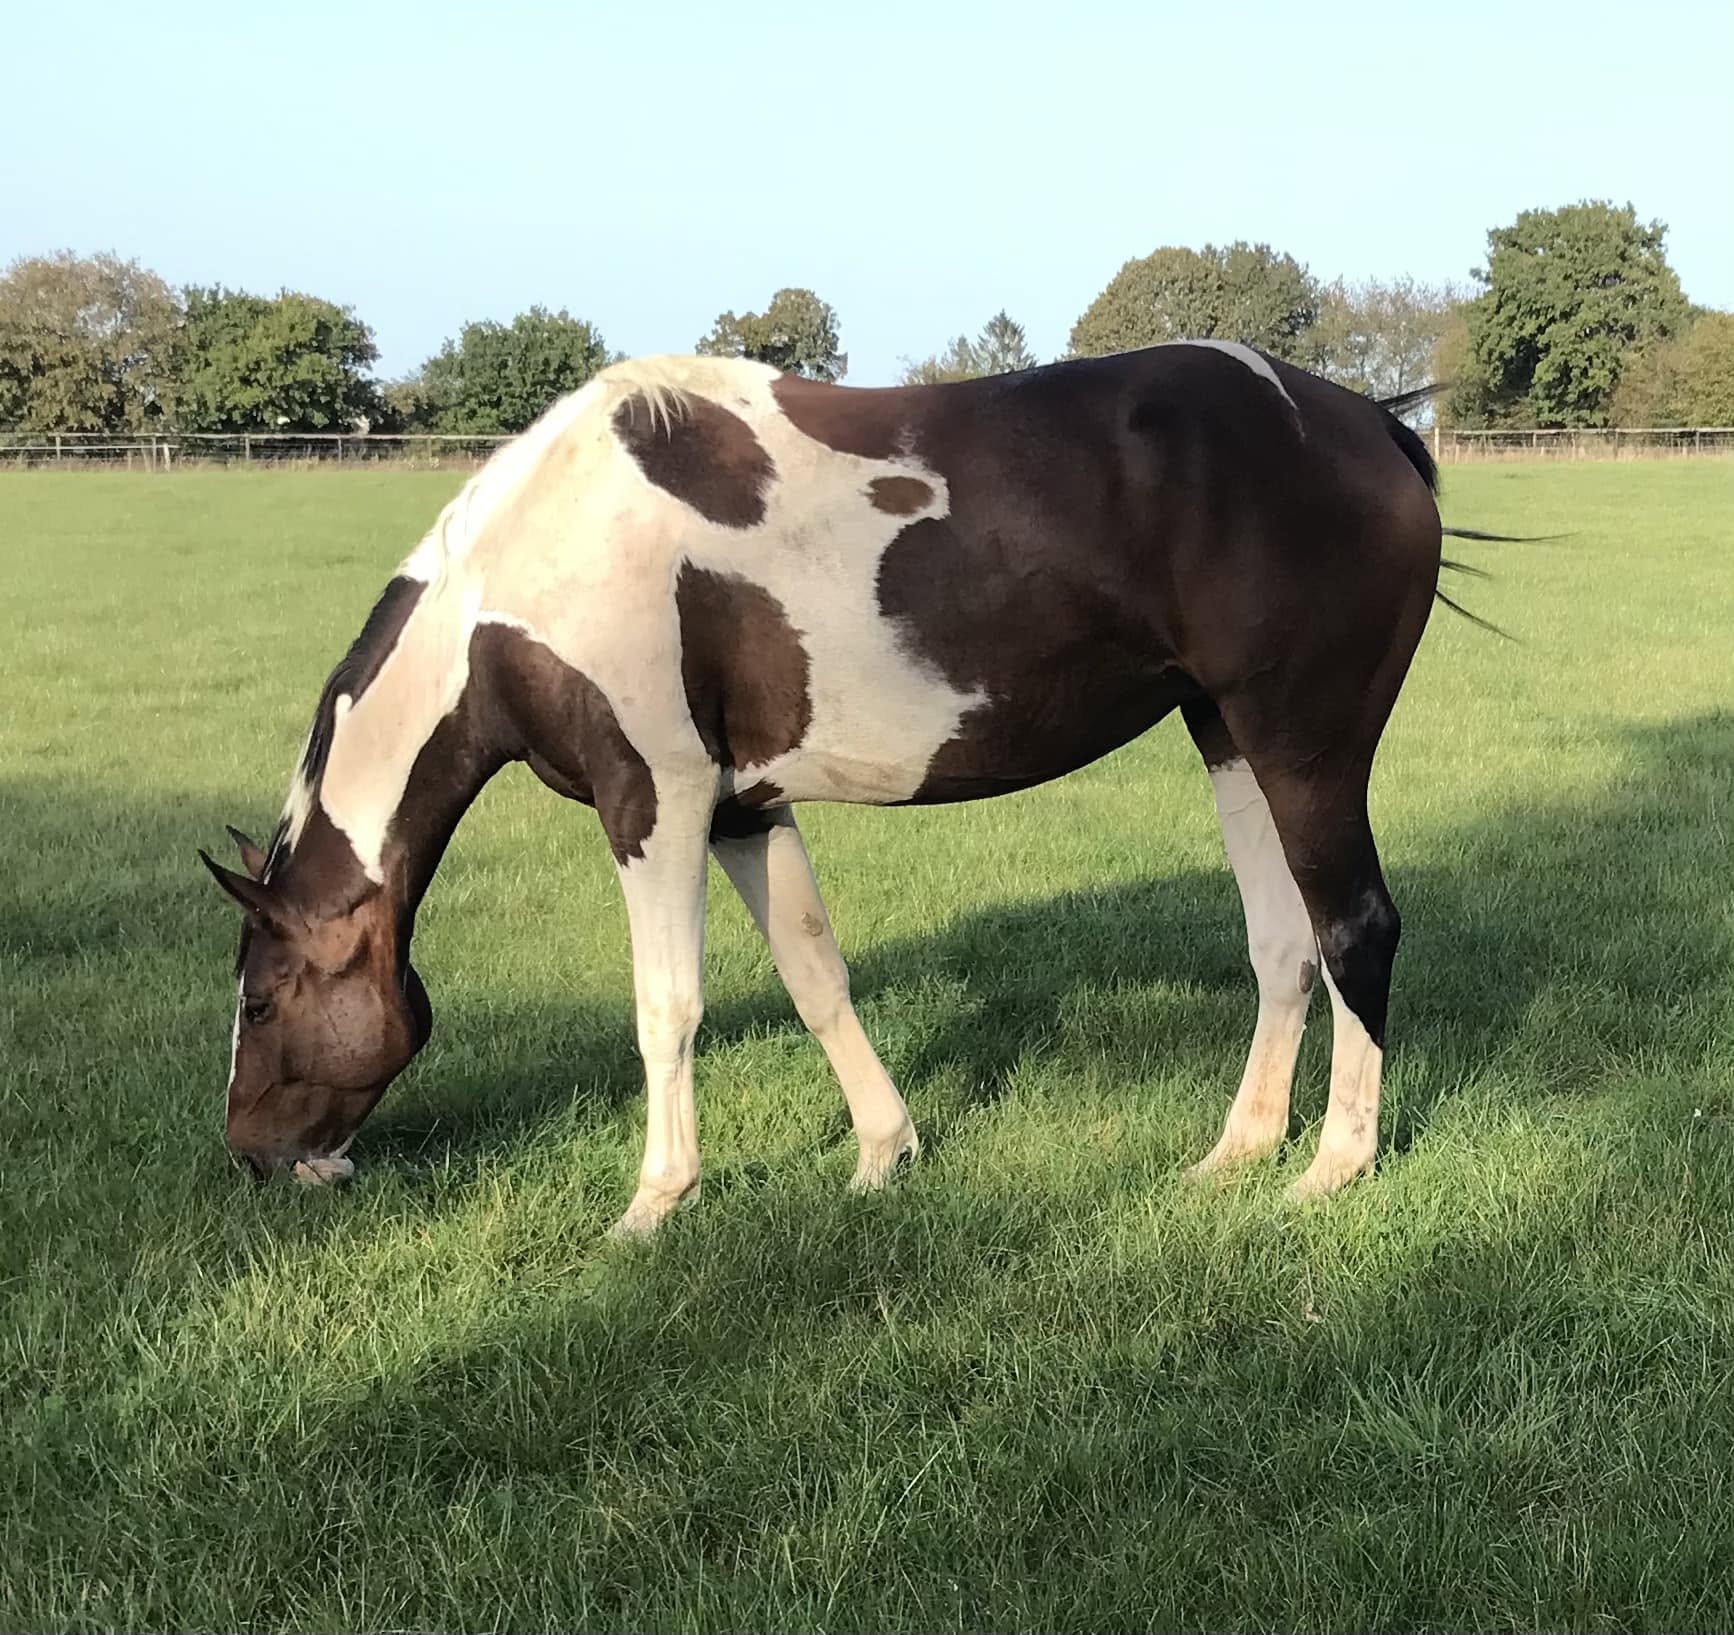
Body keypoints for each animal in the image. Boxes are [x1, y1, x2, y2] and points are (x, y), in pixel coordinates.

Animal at [203, 342, 1466, 1235]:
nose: (251, 1157)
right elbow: (815, 978)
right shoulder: (742, 809)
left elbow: (668, 1008)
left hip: (1305, 749)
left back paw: (1332, 1166)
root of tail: (1365, 423)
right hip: (1228, 739)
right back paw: (1240, 1149)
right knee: (1281, 944)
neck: (527, 580)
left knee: (1354, 929)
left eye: (259, 1003)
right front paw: (881, 1154)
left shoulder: (652, 803)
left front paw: (654, 1202)